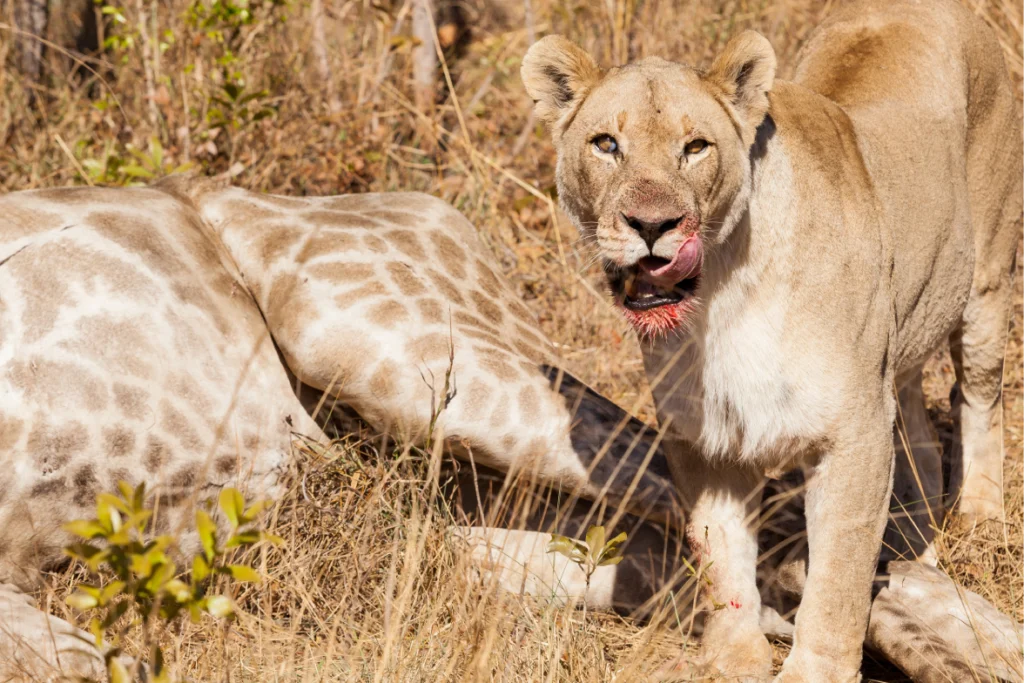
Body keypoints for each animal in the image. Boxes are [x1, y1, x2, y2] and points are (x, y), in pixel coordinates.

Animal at [521, 0, 1024, 680]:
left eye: (695, 147)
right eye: (606, 145)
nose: (652, 225)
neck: (721, 298)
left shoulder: (854, 429)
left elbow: (837, 574)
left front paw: (816, 670)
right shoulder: (703, 436)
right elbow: (720, 551)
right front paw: (734, 657)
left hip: (987, 285)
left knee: (976, 397)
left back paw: (978, 520)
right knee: (916, 415)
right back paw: (913, 535)